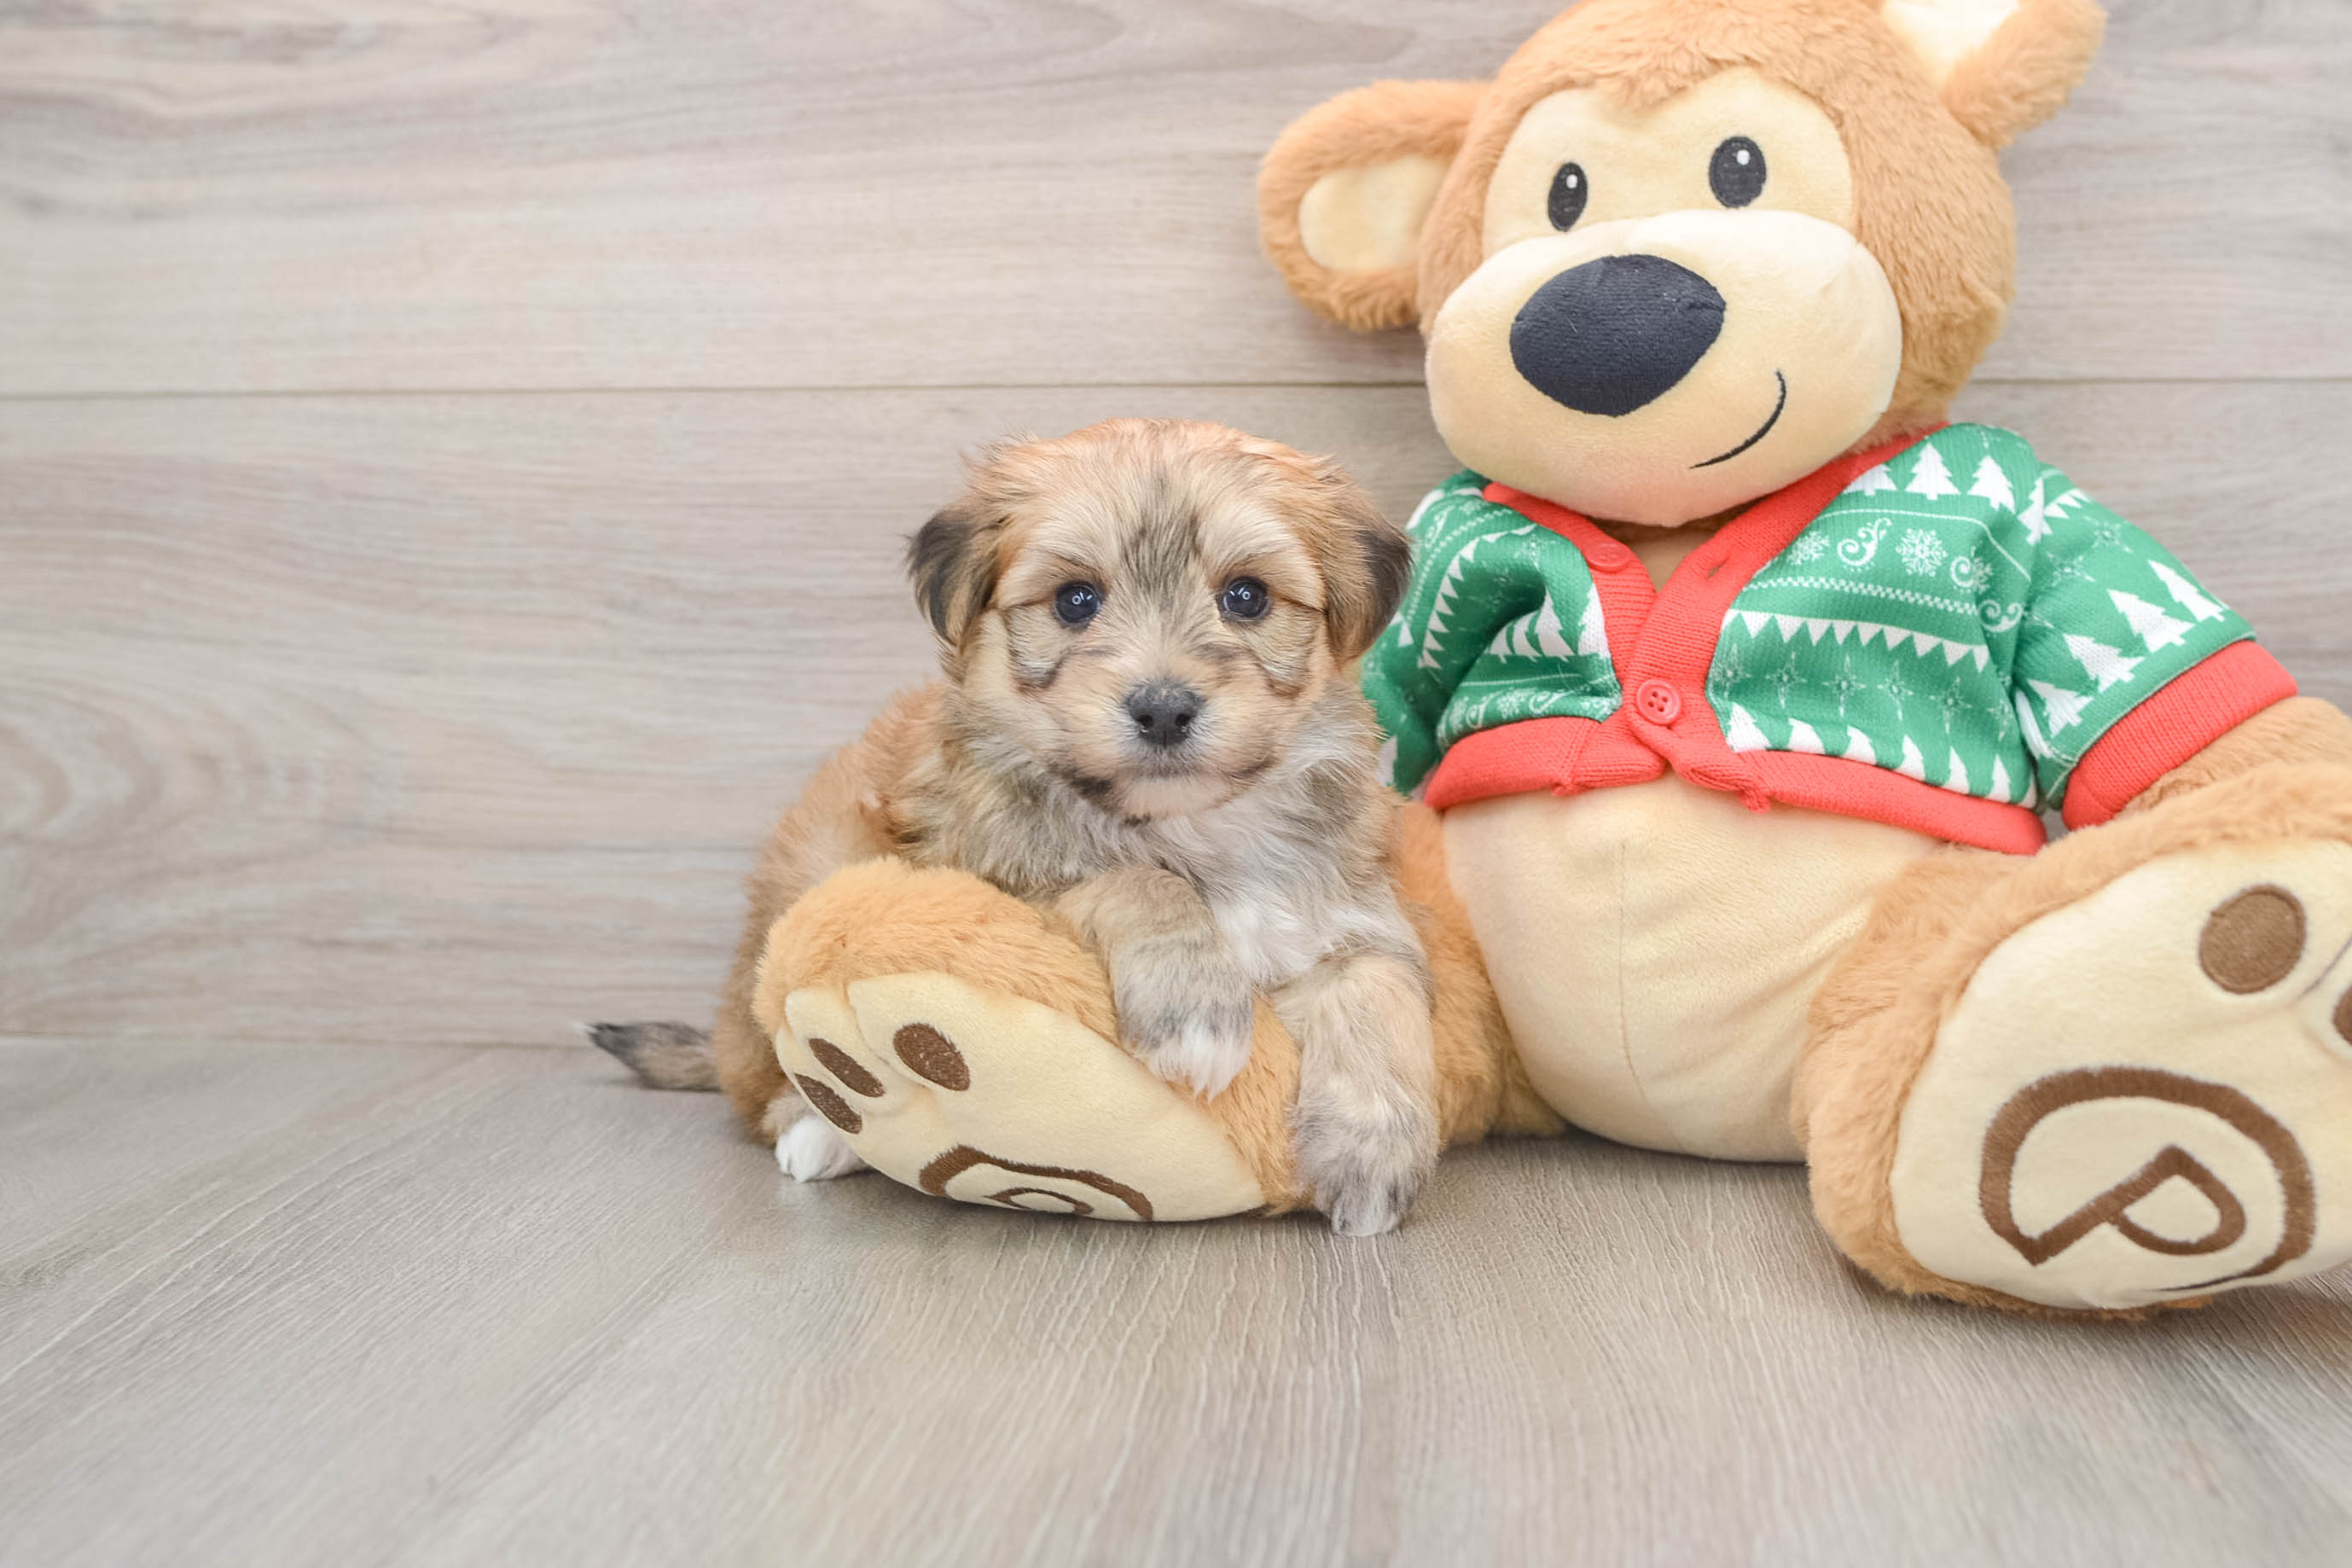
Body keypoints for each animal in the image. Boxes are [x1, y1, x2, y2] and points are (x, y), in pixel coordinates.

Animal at [594, 418, 1444, 1233]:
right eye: (1075, 601)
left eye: (1246, 597)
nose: (1163, 708)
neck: (1189, 824)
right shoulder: (997, 880)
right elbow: (1133, 880)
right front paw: (1194, 1011)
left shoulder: (1346, 912)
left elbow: (1378, 994)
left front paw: (1371, 1154)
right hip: (806, 883)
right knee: (767, 1079)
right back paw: (819, 1133)